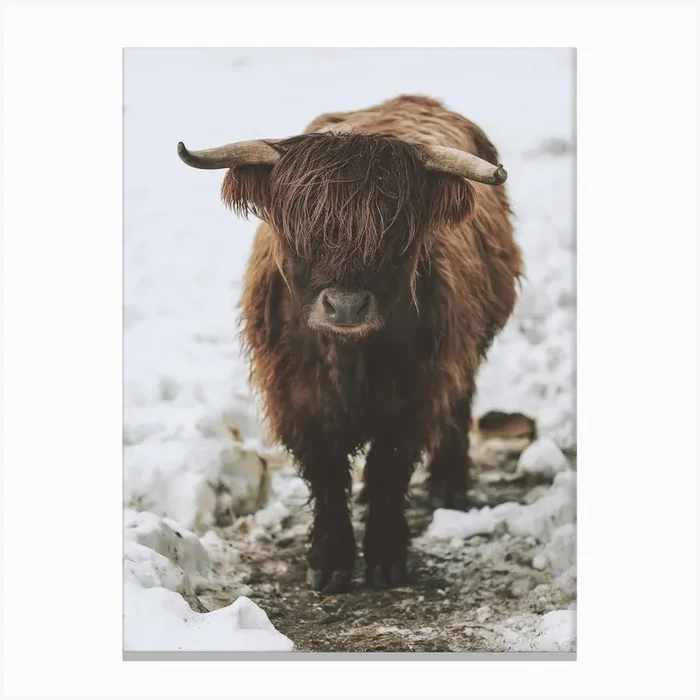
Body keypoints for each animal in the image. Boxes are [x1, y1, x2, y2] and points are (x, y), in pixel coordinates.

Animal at [178, 95, 523, 594]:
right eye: (299, 233)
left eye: (396, 236)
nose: (345, 306)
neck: (348, 356)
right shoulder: (294, 398)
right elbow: (325, 474)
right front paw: (331, 561)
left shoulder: (419, 394)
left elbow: (388, 470)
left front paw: (387, 558)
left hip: (467, 349)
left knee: (460, 402)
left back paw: (448, 486)